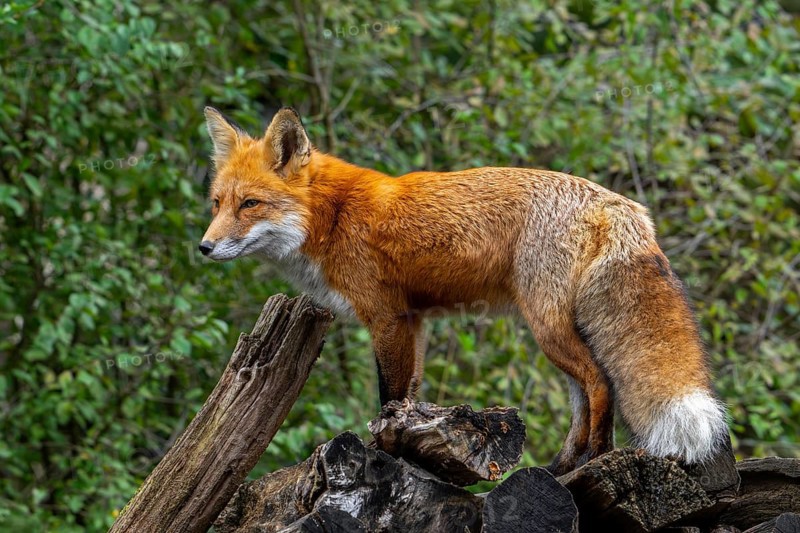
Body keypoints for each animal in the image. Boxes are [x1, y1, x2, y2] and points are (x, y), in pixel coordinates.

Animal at [198, 105, 729, 474]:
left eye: (250, 204)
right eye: (218, 203)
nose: (203, 247)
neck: (334, 217)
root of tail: (620, 204)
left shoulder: (387, 318)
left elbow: (388, 396)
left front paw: (381, 454)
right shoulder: (415, 321)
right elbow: (408, 397)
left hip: (547, 328)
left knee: (601, 383)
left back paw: (597, 457)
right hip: (558, 330)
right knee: (585, 393)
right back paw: (563, 465)